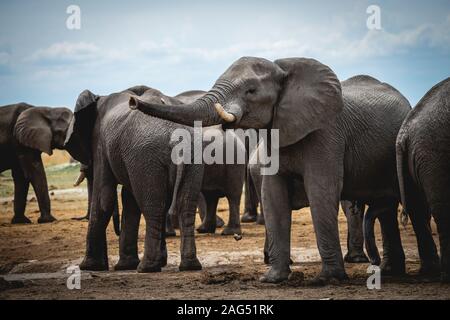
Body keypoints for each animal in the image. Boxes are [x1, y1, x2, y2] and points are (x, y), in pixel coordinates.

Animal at [63, 85, 202, 272]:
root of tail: (177, 136)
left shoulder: (100, 143)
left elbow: (104, 198)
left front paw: (88, 267)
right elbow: (128, 199)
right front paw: (124, 266)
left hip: (146, 155)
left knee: (153, 207)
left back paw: (147, 267)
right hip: (192, 156)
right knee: (185, 206)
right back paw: (189, 266)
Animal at [129, 56, 414, 284]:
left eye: (251, 90)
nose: (133, 100)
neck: (284, 71)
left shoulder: (327, 133)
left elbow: (321, 192)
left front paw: (327, 279)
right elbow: (273, 194)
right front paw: (272, 279)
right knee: (385, 210)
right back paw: (390, 271)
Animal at [398, 78, 450, 282]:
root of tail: (404, 132)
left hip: (421, 154)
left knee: (418, 207)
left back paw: (432, 271)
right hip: (433, 152)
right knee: (441, 208)